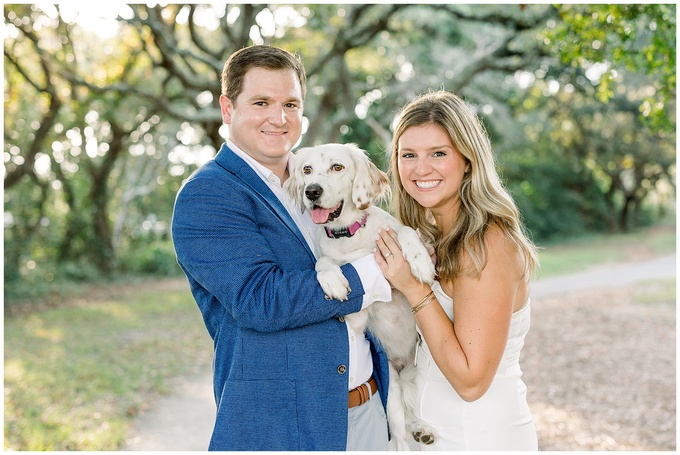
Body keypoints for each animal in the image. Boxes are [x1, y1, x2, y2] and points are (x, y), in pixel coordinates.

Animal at [286, 144, 436, 450]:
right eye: (306, 169)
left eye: (337, 167)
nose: (312, 191)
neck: (348, 235)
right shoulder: (356, 317)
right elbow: (323, 263)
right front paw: (333, 279)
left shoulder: (393, 233)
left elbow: (405, 231)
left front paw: (420, 261)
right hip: (392, 398)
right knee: (401, 435)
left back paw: (421, 426)